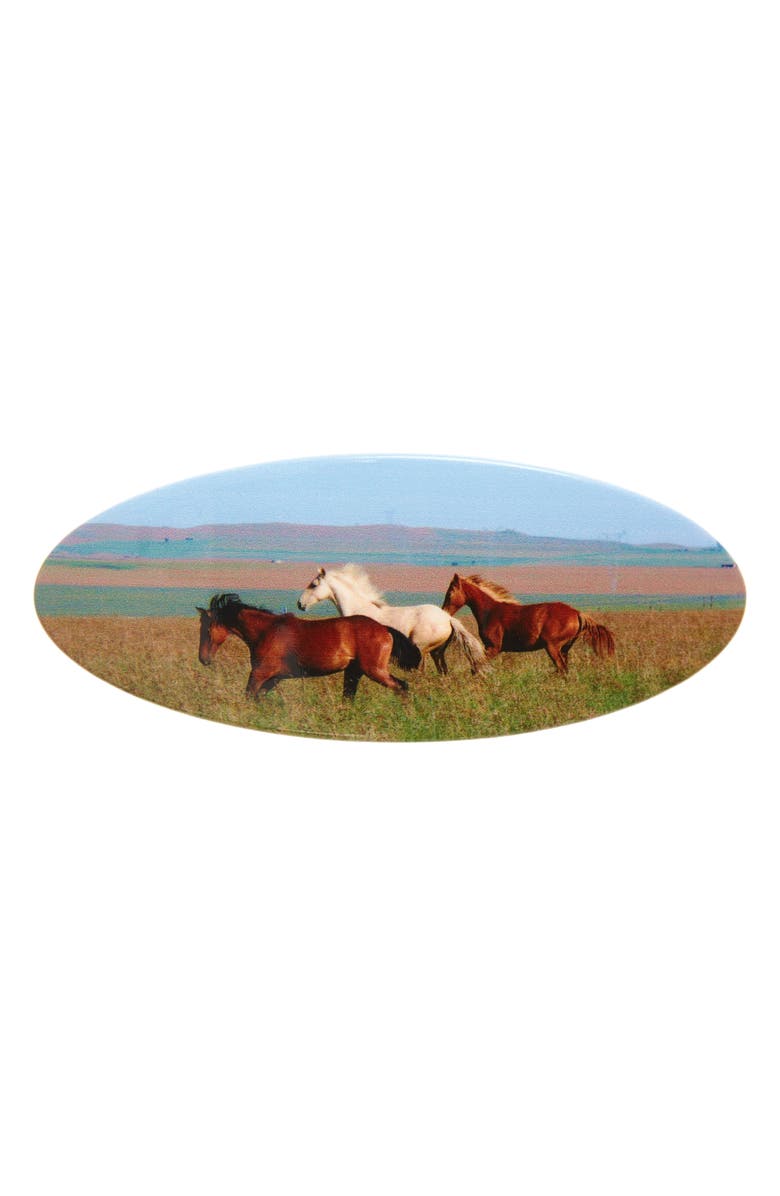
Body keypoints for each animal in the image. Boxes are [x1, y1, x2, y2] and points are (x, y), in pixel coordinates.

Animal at [197, 593, 421, 700]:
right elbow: (258, 697)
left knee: (402, 687)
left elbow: (249, 696)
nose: (203, 659)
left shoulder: (261, 673)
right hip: (354, 672)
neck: (266, 631)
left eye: (207, 629)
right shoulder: (274, 678)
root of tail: (384, 629)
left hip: (374, 670)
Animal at [297, 564, 486, 675]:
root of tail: (447, 618)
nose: (299, 604)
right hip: (437, 652)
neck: (359, 610)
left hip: (421, 649)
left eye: (313, 584)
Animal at [441, 574, 615, 675]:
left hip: (552, 647)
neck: (490, 611)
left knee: (561, 669)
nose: (444, 611)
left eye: (450, 593)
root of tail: (576, 613)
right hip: (565, 649)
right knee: (565, 670)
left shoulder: (494, 647)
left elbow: (475, 667)